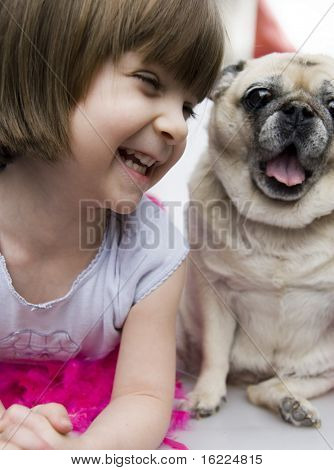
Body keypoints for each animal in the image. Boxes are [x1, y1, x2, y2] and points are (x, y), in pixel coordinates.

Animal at [179, 53, 334, 428]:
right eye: (259, 96)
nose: (299, 110)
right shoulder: (215, 293)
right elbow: (215, 353)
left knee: (271, 387)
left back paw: (290, 402)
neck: (281, 226)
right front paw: (206, 394)